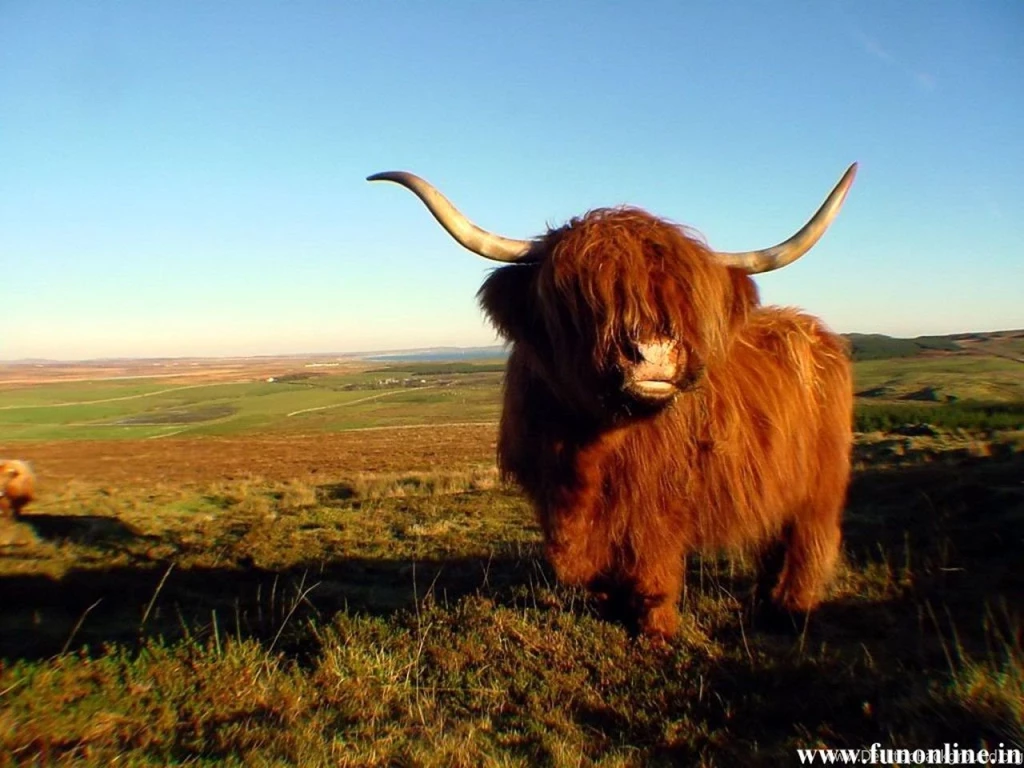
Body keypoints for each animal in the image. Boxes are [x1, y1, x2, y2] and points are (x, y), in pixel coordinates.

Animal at [368, 165, 856, 638]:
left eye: (684, 301)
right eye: (582, 298)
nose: (655, 353)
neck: (586, 448)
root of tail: (815, 331)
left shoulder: (660, 504)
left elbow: (653, 568)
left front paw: (656, 630)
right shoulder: (555, 499)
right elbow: (597, 570)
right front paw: (613, 608)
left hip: (820, 486)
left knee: (808, 542)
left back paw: (790, 611)